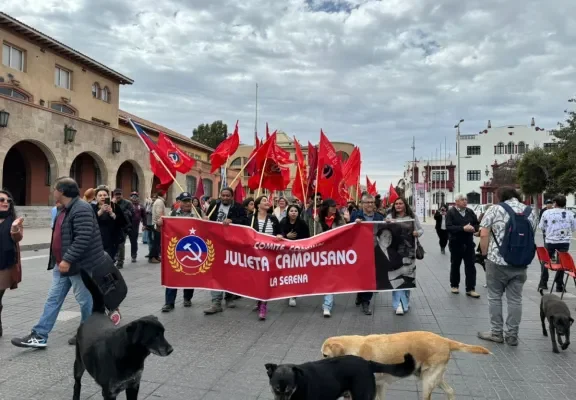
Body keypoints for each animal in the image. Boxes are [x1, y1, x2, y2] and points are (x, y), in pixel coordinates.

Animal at [74, 270, 173, 398]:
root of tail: (96, 313)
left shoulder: (134, 385)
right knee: (77, 384)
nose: (171, 350)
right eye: (155, 336)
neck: (131, 354)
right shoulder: (109, 392)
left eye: (163, 333)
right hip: (79, 364)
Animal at [322, 332, 488, 400]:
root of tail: (445, 341)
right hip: (433, 377)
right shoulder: (380, 386)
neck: (355, 347)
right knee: (451, 391)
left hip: (428, 382)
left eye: (324, 355)